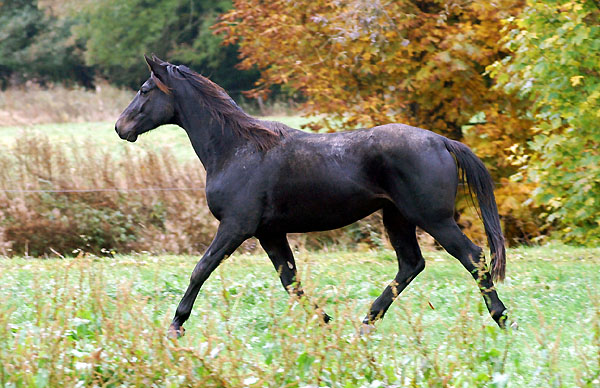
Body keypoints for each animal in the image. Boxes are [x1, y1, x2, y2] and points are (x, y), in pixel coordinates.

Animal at [115, 56, 508, 338]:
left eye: (145, 90)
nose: (121, 127)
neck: (237, 148)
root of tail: (441, 141)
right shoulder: (269, 232)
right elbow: (291, 282)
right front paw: (325, 321)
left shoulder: (236, 227)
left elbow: (201, 269)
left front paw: (175, 326)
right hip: (397, 218)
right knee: (411, 264)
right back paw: (366, 323)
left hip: (433, 219)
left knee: (473, 257)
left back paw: (502, 318)